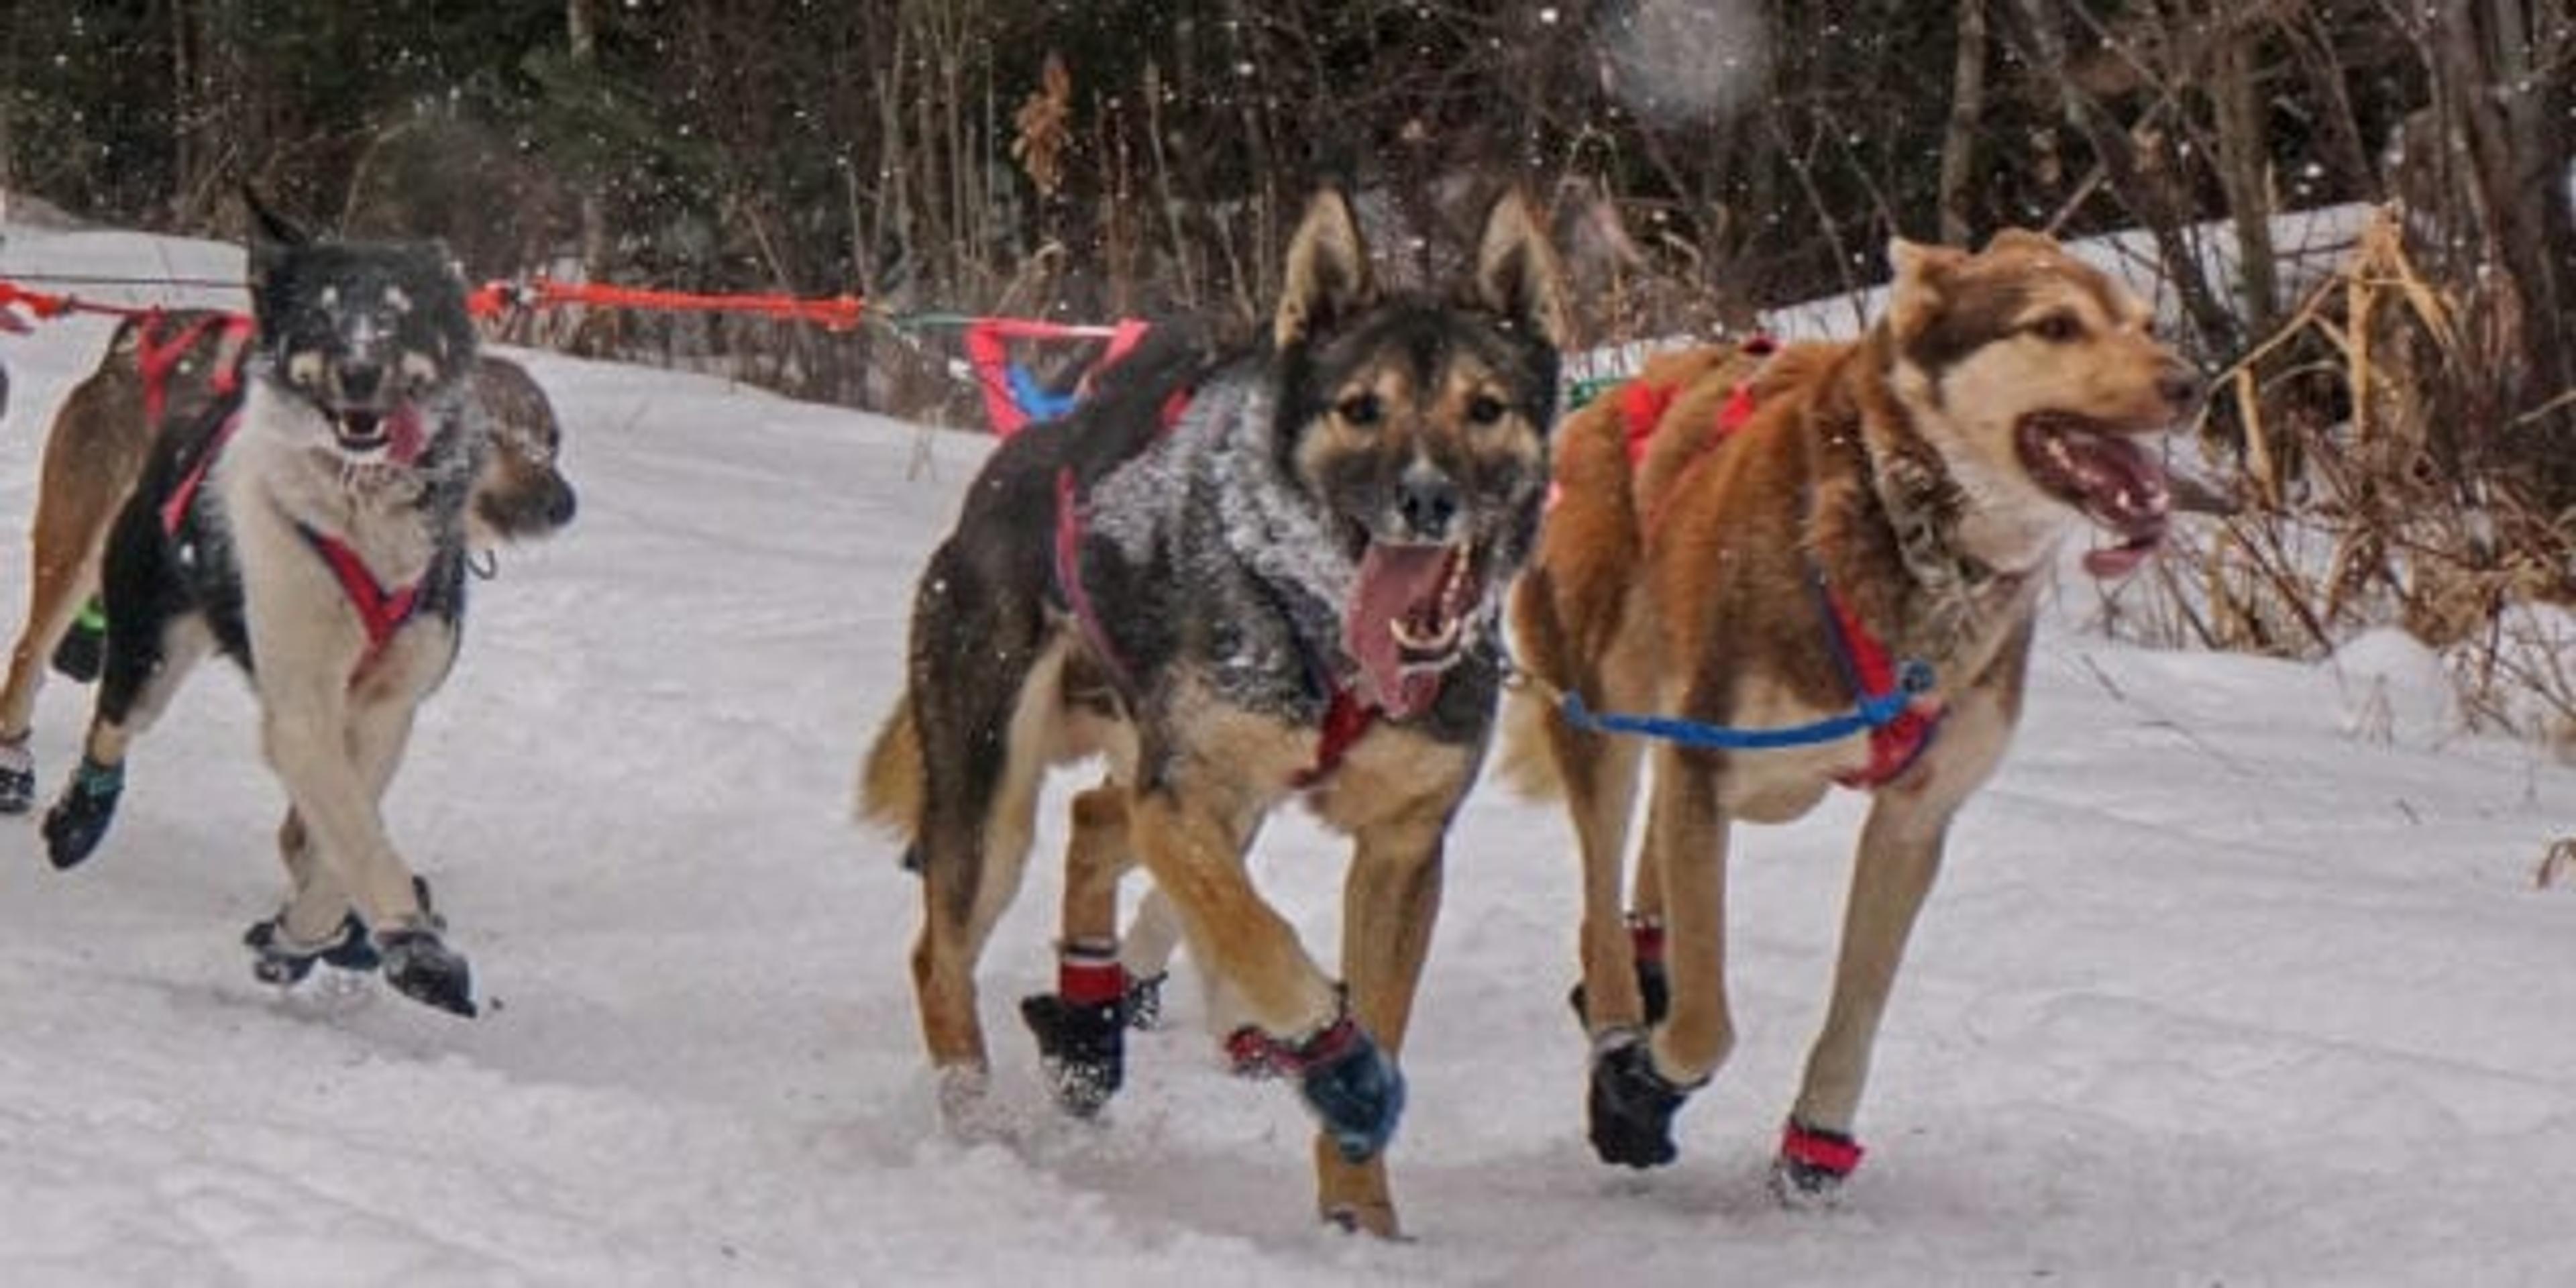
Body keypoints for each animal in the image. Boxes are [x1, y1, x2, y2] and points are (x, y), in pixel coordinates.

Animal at [0, 305, 574, 808]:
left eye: (552, 441)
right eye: (493, 435)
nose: (566, 504)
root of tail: (136, 342)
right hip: (76, 555)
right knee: (30, 654)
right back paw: (14, 761)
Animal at [32, 201, 541, 1014]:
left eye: (397, 316)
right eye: (323, 317)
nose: (360, 371)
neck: (362, 513)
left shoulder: (386, 706)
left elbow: (349, 828)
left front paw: (310, 932)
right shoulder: (302, 702)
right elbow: (356, 832)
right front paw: (411, 943)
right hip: (151, 640)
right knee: (114, 720)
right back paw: (80, 817)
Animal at [860, 191, 1566, 1236]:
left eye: (1486, 408)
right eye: (1362, 408)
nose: (1427, 498)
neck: (1329, 643)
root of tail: (1010, 468)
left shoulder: (1401, 846)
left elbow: (1358, 997)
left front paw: (1360, 1211)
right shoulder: (1188, 802)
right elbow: (1262, 938)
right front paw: (1336, 1063)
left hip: (1180, 783)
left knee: (1093, 822)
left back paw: (1089, 1021)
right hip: (995, 805)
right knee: (938, 953)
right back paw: (979, 1119)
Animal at [1504, 229, 2194, 1195]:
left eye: (2147, 323)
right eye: (2055, 325)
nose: (2189, 383)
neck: (1912, 538)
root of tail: (1615, 397)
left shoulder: (1913, 818)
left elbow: (1860, 1003)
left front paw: (1816, 1139)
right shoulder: (1711, 764)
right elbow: (1707, 1027)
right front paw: (1638, 1088)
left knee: (1650, 868)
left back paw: (1652, 963)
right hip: (1605, 719)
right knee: (1601, 911)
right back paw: (1617, 1025)